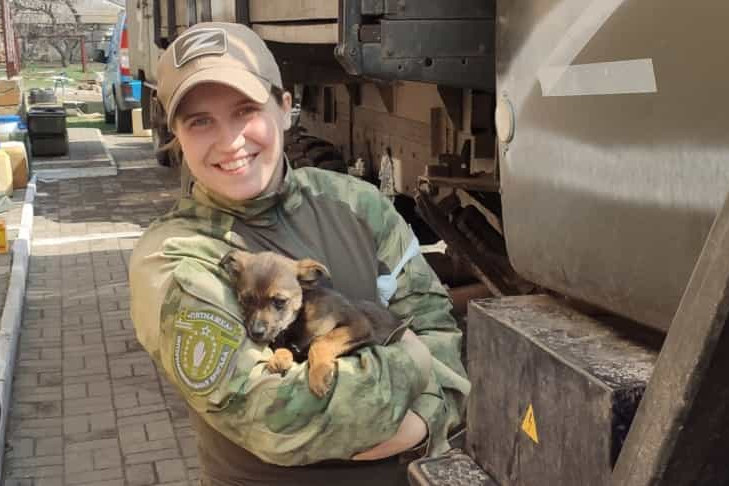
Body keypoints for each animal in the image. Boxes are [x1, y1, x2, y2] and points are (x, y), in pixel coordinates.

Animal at [222, 251, 404, 398]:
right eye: (246, 300)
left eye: (280, 301)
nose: (255, 333)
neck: (296, 321)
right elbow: (287, 349)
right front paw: (279, 358)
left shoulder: (359, 324)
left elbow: (320, 341)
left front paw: (319, 374)